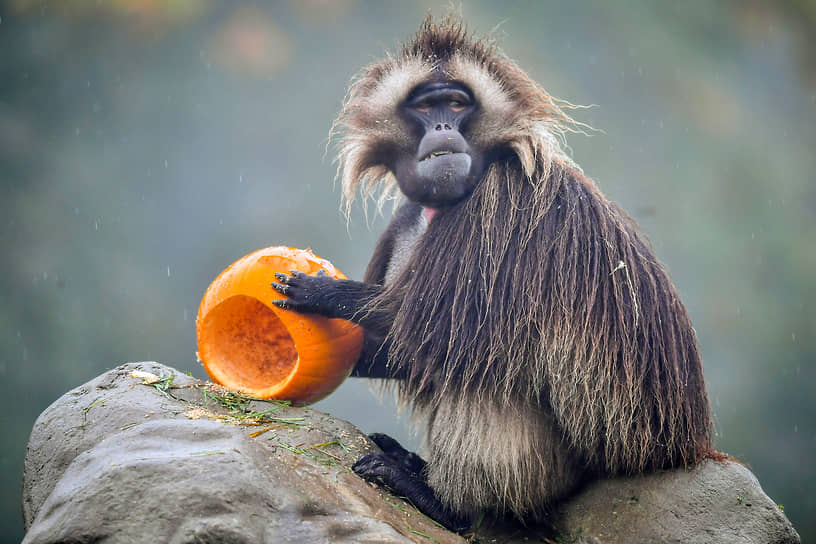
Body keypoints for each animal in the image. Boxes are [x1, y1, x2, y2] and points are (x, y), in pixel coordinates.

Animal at [270, 15, 712, 532]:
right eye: (426, 106)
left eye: (457, 104)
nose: (443, 127)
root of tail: (675, 453)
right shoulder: (407, 219)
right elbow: (407, 350)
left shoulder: (504, 205)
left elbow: (428, 330)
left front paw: (321, 292)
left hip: (564, 471)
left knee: (485, 360)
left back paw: (443, 501)